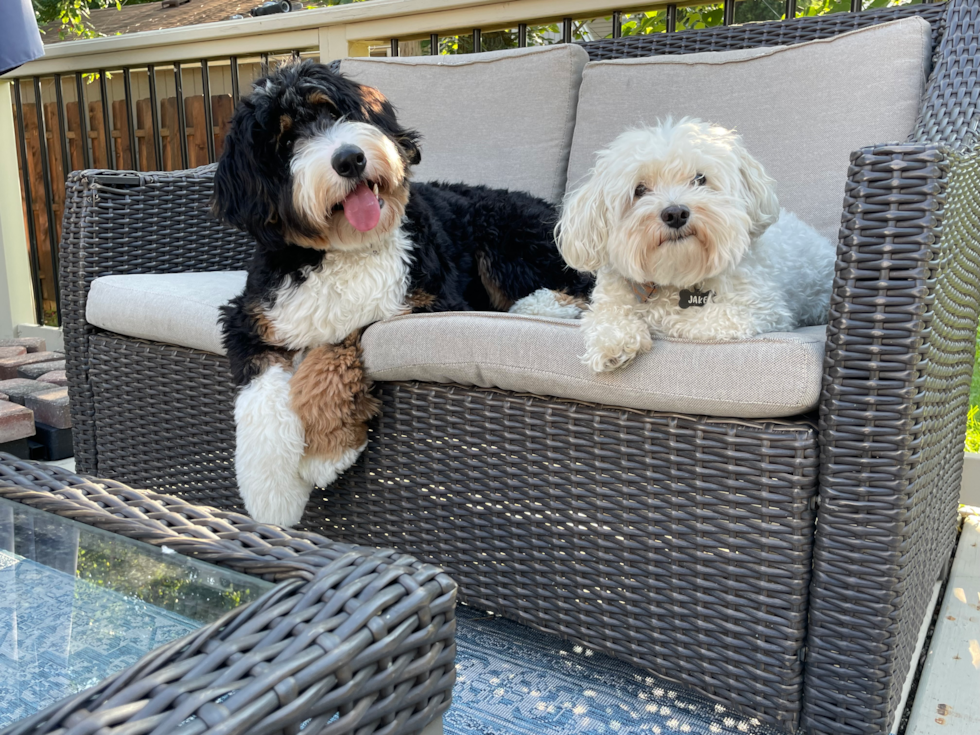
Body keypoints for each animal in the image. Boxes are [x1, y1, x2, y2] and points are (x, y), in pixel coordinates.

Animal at [214, 60, 588, 528]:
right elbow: (260, 390)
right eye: (285, 142)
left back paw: (541, 306)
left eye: (333, 109)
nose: (350, 159)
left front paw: (326, 449)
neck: (346, 250)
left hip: (506, 230)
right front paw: (270, 488)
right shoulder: (250, 315)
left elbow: (335, 345)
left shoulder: (428, 305)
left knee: (587, 285)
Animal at [560, 121, 836, 376]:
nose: (675, 213)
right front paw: (613, 343)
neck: (674, 275)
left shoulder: (757, 310)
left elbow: (676, 321)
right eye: (640, 189)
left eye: (699, 179)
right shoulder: (609, 301)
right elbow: (603, 317)